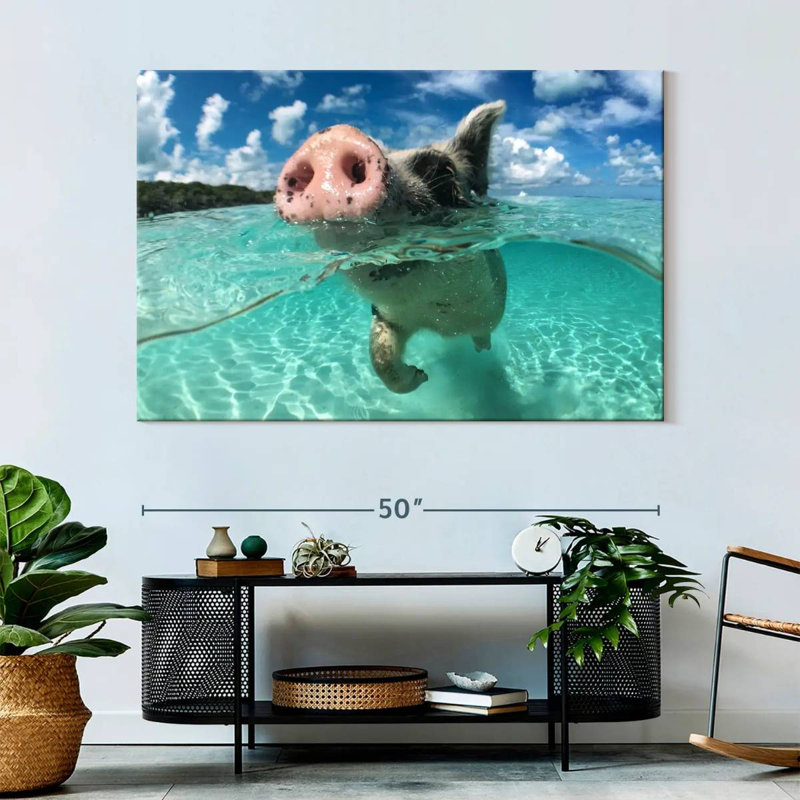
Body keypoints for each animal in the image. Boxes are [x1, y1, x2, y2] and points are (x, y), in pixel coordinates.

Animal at [275, 101, 507, 394]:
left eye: (441, 171)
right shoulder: (388, 316)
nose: (329, 140)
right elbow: (380, 356)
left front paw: (469, 355)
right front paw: (422, 376)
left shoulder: (487, 308)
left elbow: (482, 331)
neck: (440, 321)